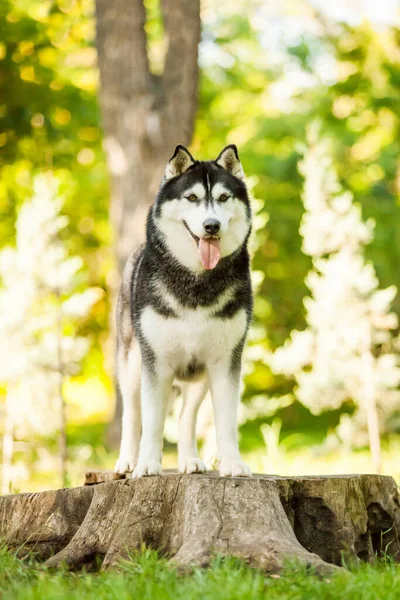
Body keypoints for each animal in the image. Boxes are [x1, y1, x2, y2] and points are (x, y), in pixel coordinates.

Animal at [115, 145, 252, 478]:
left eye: (224, 197)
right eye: (191, 197)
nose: (211, 226)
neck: (197, 282)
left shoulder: (226, 361)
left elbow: (226, 422)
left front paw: (232, 463)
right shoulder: (155, 362)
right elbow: (152, 420)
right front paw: (148, 464)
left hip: (198, 375)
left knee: (186, 417)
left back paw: (189, 459)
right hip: (131, 363)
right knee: (133, 412)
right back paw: (128, 460)